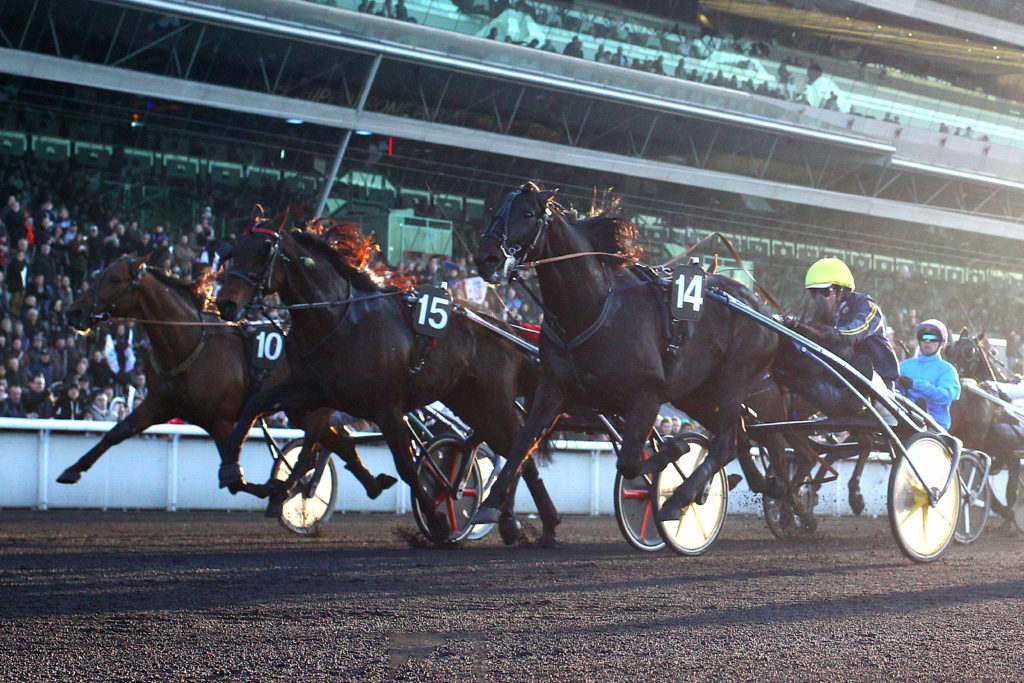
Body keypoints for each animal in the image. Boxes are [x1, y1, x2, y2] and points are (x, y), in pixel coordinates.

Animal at [215, 216, 561, 548]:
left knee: (520, 448)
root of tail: (506, 327)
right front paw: (233, 470)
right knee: (508, 447)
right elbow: (257, 406)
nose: (225, 303)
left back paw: (527, 520)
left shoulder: (386, 406)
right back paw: (515, 521)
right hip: (470, 403)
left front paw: (437, 521)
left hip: (493, 401)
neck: (338, 320)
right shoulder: (314, 391)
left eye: (263, 251)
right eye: (231, 251)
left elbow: (406, 466)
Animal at [475, 181, 778, 524]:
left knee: (726, 442)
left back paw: (681, 498)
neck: (591, 307)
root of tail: (760, 307)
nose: (486, 258)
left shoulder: (648, 394)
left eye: (527, 213)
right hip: (697, 395)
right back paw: (762, 483)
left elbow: (630, 462)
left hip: (733, 383)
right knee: (739, 436)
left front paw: (673, 451)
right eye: (495, 211)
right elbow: (522, 443)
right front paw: (490, 501)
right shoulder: (553, 389)